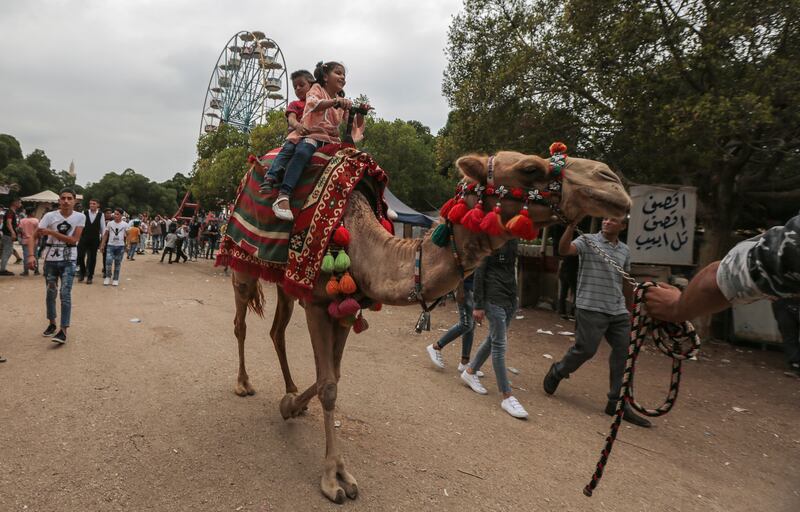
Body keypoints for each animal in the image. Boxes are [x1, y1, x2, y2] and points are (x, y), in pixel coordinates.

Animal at [225, 149, 632, 504]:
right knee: (241, 322)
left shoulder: (343, 306)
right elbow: (328, 386)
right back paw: (243, 383)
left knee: (277, 330)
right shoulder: (317, 302)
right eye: (530, 168)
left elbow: (334, 377)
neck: (358, 240)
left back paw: (290, 390)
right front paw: (332, 479)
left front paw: (292, 407)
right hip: (243, 263)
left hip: (284, 283)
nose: (612, 182)